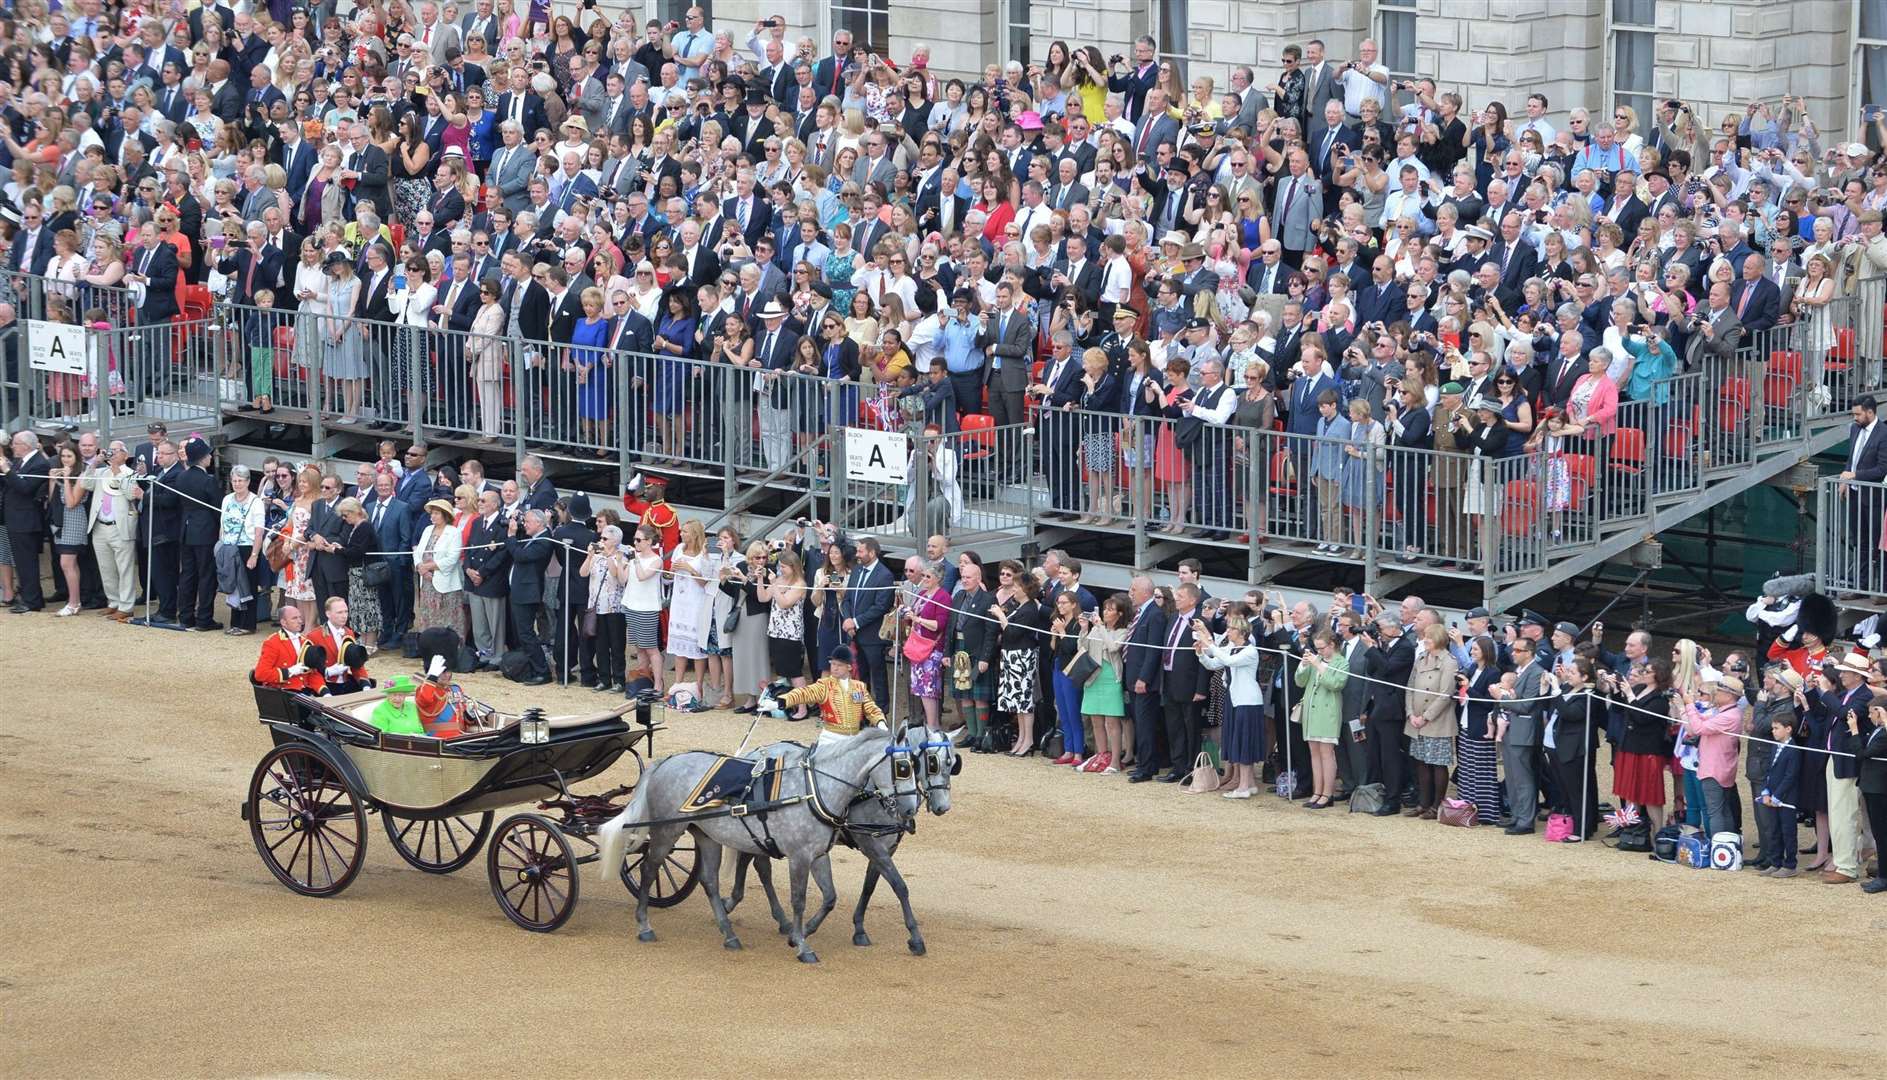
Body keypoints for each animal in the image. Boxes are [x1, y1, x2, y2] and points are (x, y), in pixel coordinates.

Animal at [588, 725, 913, 962]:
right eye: (903, 767)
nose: (909, 811)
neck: (814, 789)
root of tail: (666, 760)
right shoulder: (799, 856)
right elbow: (798, 900)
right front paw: (802, 945)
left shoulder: (818, 854)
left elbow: (830, 896)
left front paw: (799, 935)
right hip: (667, 832)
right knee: (649, 871)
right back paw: (644, 925)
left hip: (706, 836)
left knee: (709, 881)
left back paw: (729, 934)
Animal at [720, 725, 958, 951]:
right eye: (933, 763)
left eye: (953, 763)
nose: (942, 807)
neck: (874, 793)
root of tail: (754, 754)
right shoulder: (870, 843)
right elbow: (899, 886)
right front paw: (915, 938)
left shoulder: (886, 848)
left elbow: (869, 887)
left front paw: (859, 929)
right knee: (758, 866)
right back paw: (744, 907)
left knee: (752, 861)